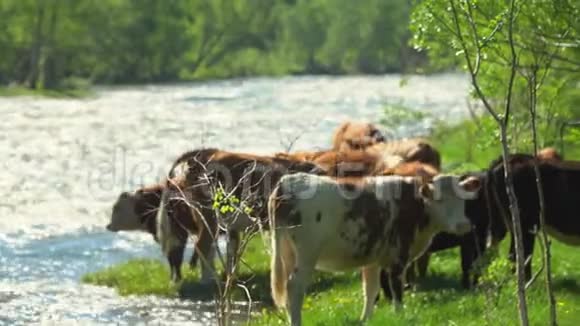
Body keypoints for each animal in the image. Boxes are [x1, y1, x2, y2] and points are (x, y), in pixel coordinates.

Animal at [270, 172, 482, 324]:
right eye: (439, 200)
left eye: (463, 199)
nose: (463, 225)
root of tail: (286, 181)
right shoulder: (399, 256)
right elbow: (397, 290)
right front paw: (399, 316)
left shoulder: (372, 259)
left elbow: (371, 290)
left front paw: (366, 320)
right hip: (307, 254)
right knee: (295, 287)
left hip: (287, 253)